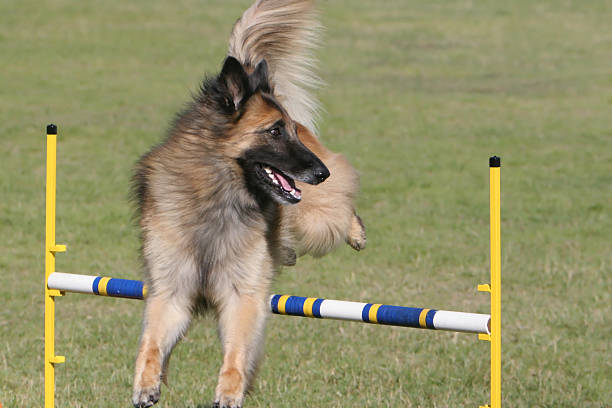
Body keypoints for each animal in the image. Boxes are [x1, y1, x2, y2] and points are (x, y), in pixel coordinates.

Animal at [131, 1, 366, 406]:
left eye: (288, 130)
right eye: (274, 130)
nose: (321, 173)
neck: (217, 195)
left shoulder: (242, 295)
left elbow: (236, 352)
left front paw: (229, 392)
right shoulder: (172, 290)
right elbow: (152, 343)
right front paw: (146, 383)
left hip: (316, 218)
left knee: (341, 205)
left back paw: (356, 231)